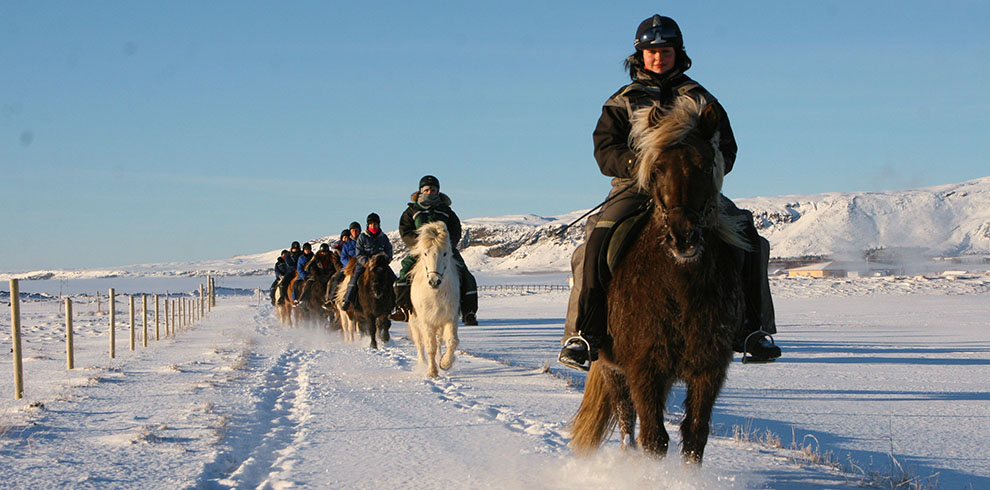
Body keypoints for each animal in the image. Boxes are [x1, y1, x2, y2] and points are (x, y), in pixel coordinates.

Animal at [406, 222, 462, 378]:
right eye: (425, 253)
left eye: (445, 253)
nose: (434, 281)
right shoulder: (426, 320)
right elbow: (429, 346)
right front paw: (432, 372)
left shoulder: (450, 317)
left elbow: (452, 341)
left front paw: (445, 363)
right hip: (414, 321)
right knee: (420, 343)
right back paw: (422, 363)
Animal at [568, 94, 756, 464]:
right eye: (656, 169)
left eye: (704, 166)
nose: (683, 237)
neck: (679, 286)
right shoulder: (644, 368)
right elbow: (654, 439)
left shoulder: (708, 368)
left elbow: (695, 436)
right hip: (612, 367)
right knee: (626, 420)